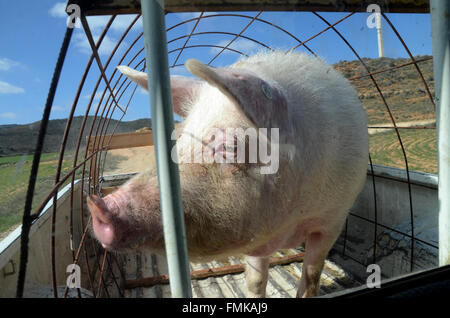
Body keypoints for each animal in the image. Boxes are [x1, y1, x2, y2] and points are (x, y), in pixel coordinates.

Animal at [86, 51, 368, 298]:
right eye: (180, 138)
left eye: (230, 147)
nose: (98, 204)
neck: (292, 217)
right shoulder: (258, 233)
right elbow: (256, 280)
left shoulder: (332, 219)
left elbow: (312, 276)